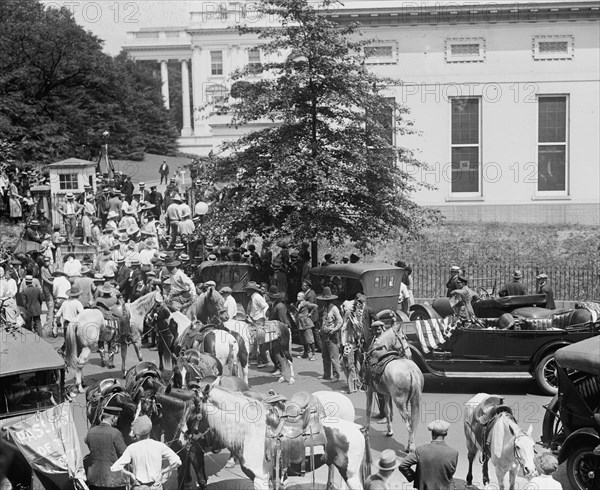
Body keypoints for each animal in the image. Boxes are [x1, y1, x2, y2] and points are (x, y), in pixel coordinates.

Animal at [195, 386, 368, 490]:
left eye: (194, 411)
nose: (189, 442)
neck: (249, 432)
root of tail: (358, 428)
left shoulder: (260, 479)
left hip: (350, 473)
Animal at [364, 314, 424, 452]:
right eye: (403, 337)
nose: (409, 354)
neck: (378, 353)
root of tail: (411, 371)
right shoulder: (386, 393)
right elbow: (387, 411)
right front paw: (389, 431)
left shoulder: (369, 389)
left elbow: (368, 409)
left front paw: (366, 429)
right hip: (414, 400)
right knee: (413, 421)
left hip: (400, 402)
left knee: (409, 422)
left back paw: (410, 446)